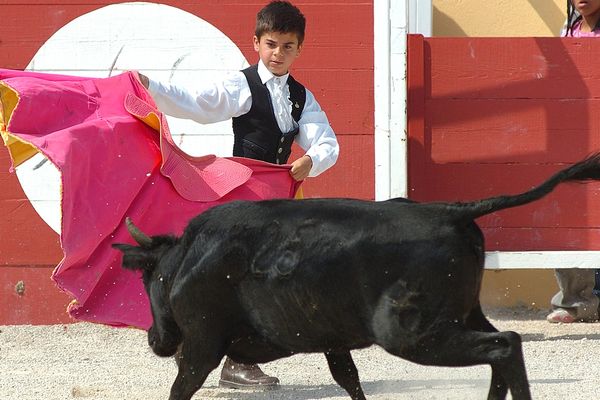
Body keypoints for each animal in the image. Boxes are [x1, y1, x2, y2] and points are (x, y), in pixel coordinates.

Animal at [113, 153, 600, 400]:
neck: (189, 257)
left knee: (506, 345)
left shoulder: (201, 342)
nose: (155, 340)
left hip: (412, 334)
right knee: (502, 344)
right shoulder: (331, 337)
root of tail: (452, 210)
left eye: (148, 282)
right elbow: (348, 378)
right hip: (459, 317)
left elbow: (181, 386)